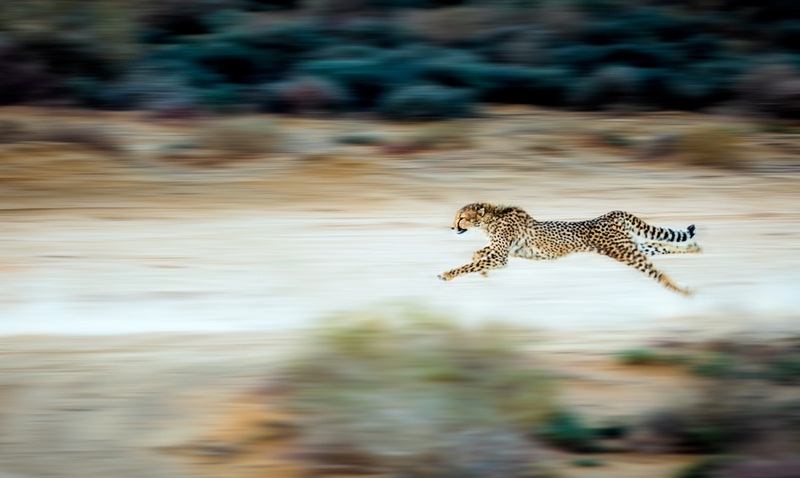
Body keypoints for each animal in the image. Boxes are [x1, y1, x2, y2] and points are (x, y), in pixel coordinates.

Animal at [438, 203, 700, 296]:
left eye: (461, 217)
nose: (452, 227)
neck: (491, 219)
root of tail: (610, 214)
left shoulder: (502, 256)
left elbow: (470, 263)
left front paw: (447, 274)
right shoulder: (504, 252)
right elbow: (477, 255)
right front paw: (483, 272)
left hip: (625, 253)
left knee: (658, 272)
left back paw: (681, 290)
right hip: (632, 247)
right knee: (662, 245)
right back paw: (694, 247)